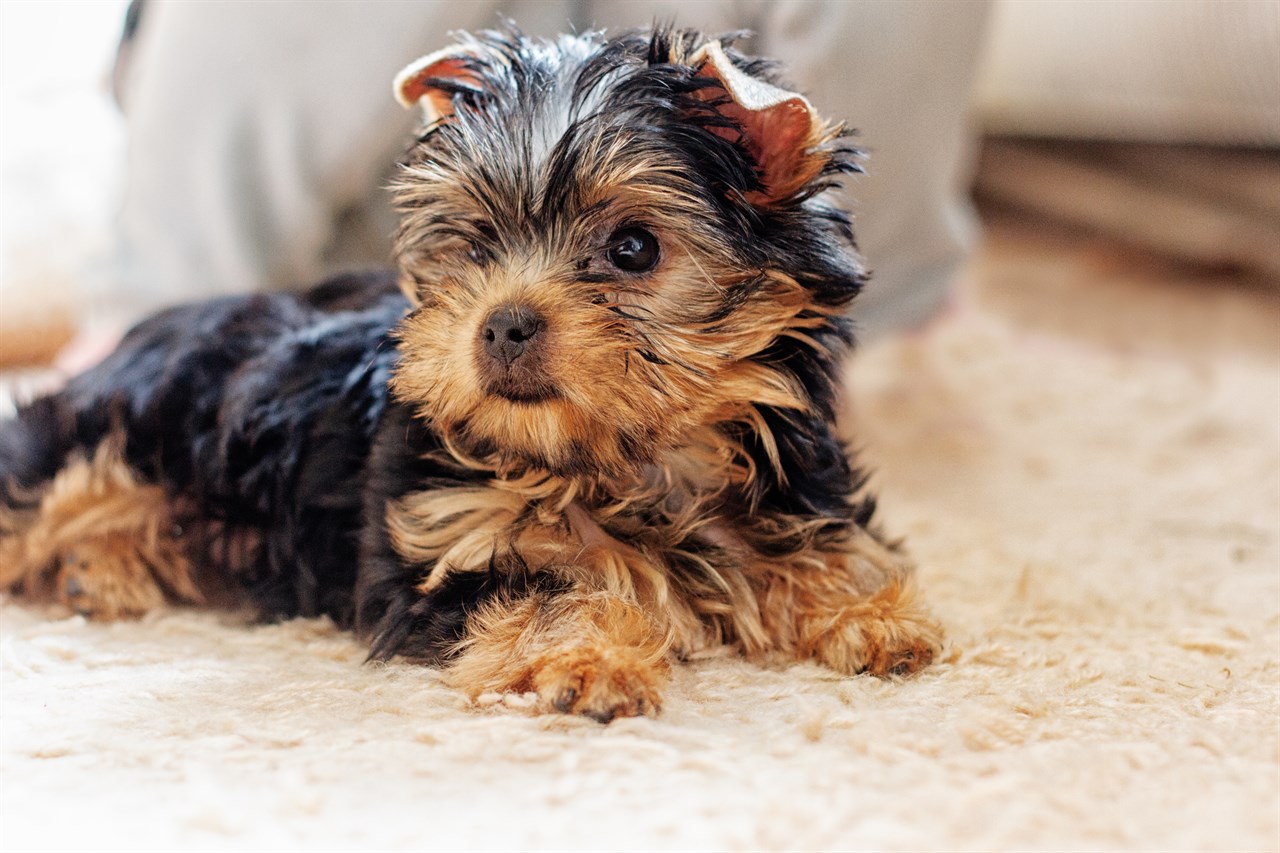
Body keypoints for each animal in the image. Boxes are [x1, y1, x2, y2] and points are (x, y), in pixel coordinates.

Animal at [0, 24, 942, 717]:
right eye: (478, 245)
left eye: (634, 248)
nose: (504, 323)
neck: (626, 463)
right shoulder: (438, 543)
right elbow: (549, 589)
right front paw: (589, 660)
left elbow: (822, 543)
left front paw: (863, 610)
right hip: (106, 428)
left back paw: (101, 566)